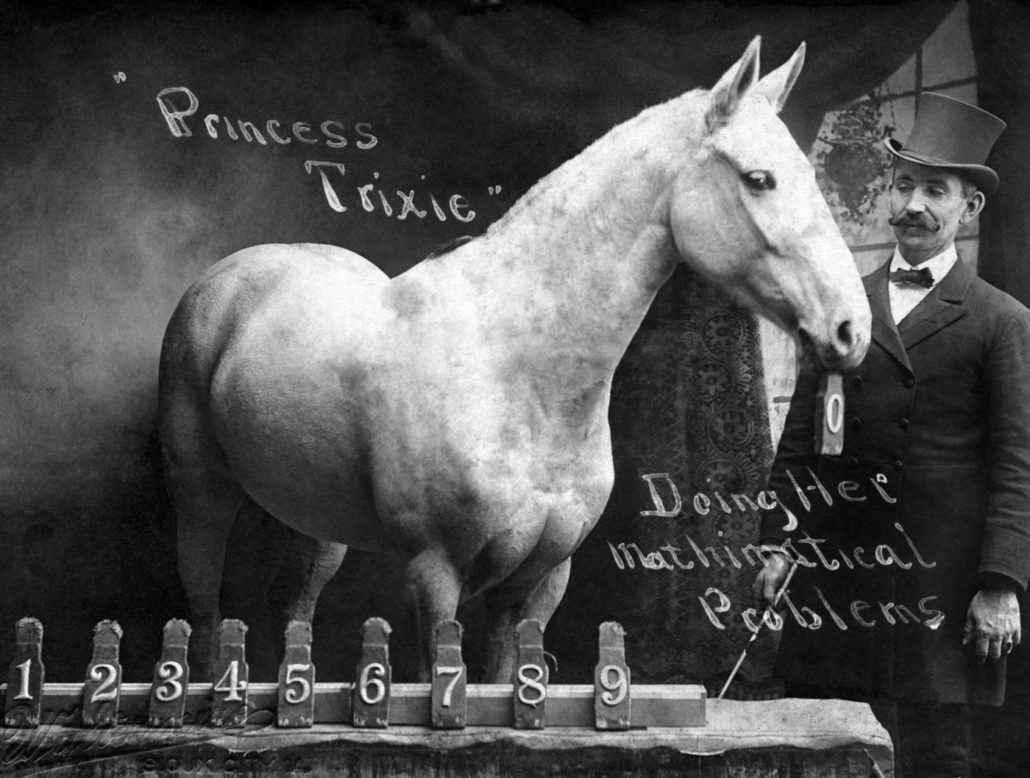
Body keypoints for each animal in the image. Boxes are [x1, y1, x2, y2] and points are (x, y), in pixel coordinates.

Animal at [158, 38, 869, 680]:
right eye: (759, 179)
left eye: (811, 176)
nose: (851, 328)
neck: (518, 371)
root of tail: (228, 278)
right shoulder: (435, 574)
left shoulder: (540, 580)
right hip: (200, 496)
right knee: (202, 608)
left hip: (314, 520)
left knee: (292, 608)